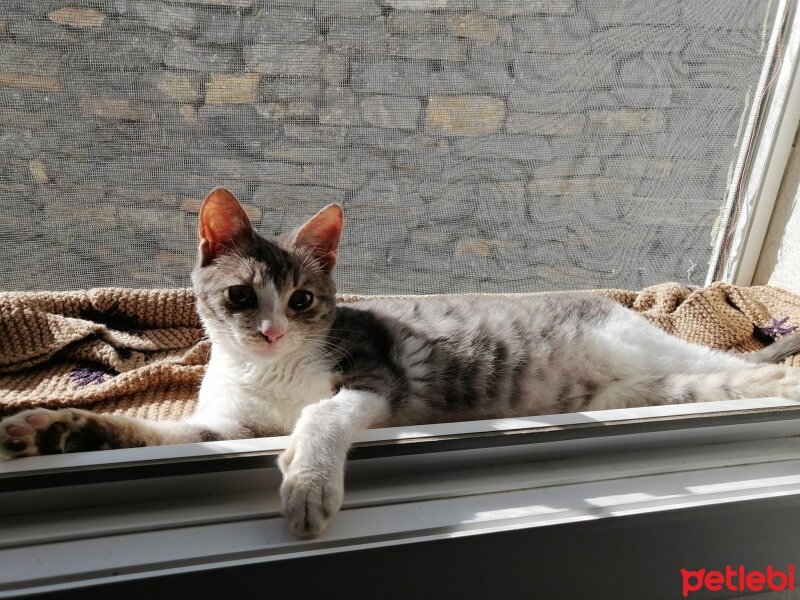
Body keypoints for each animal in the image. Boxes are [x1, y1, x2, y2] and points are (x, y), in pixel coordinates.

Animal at [1, 189, 800, 540]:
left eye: (302, 299)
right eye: (240, 296)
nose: (269, 332)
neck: (268, 376)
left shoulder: (372, 376)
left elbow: (324, 415)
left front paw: (308, 483)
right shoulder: (228, 425)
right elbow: (168, 434)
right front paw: (60, 431)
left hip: (647, 346)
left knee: (735, 363)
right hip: (659, 385)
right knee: (724, 379)